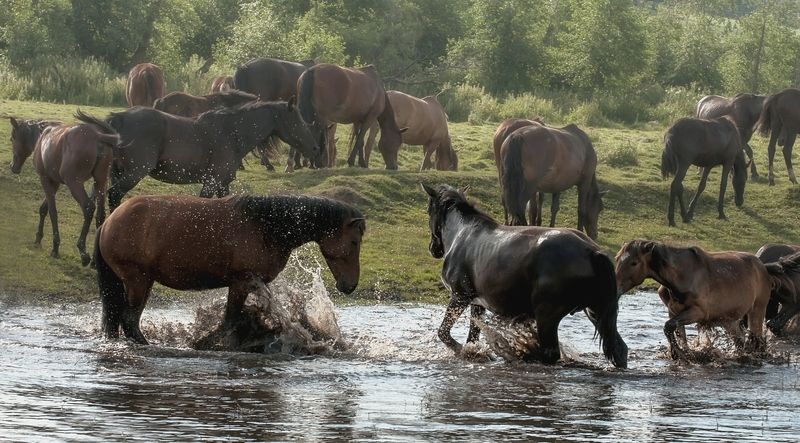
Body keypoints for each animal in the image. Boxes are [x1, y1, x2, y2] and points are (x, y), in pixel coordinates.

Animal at [9, 111, 118, 265]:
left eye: (12, 138)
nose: (13, 167)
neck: (43, 135)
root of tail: (97, 136)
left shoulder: (45, 179)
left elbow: (52, 211)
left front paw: (55, 247)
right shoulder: (54, 182)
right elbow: (44, 209)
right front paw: (38, 238)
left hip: (74, 183)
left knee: (88, 208)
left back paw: (83, 252)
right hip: (100, 182)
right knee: (100, 215)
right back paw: (95, 260)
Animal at [94, 193, 366, 344]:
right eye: (354, 242)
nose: (350, 285)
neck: (266, 226)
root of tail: (108, 222)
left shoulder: (255, 283)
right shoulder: (241, 282)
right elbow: (230, 320)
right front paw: (204, 342)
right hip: (138, 281)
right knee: (129, 320)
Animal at [105, 99, 320, 209]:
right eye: (297, 120)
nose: (315, 149)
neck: (231, 133)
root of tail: (119, 118)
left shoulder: (223, 184)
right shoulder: (212, 181)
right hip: (134, 173)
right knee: (113, 195)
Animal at [422, 184, 627, 368]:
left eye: (428, 210)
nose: (433, 249)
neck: (461, 233)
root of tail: (591, 251)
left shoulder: (460, 296)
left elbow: (444, 333)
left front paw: (464, 352)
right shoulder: (477, 303)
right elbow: (472, 337)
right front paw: (475, 353)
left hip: (547, 315)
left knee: (550, 353)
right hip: (596, 311)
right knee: (620, 349)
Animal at [615, 240, 771, 359]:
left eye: (634, 263)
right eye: (617, 258)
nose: (615, 286)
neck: (681, 275)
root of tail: (761, 265)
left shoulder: (698, 312)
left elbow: (669, 327)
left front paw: (680, 354)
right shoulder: (673, 312)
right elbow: (678, 334)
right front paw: (679, 353)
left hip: (757, 310)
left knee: (757, 339)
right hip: (729, 320)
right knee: (740, 341)